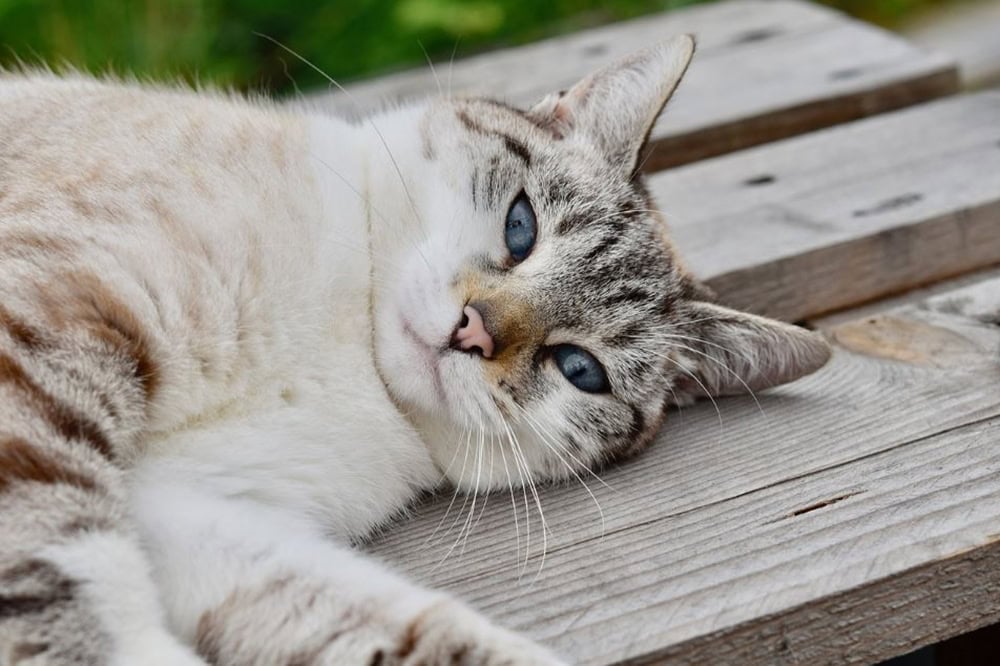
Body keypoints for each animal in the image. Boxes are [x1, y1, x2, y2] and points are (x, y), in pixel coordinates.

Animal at [0, 37, 828, 664]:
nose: (473, 331)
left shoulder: (201, 516)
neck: (350, 360)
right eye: (522, 226)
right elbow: (53, 569)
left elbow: (407, 630)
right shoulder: (57, 317)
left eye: (579, 369)